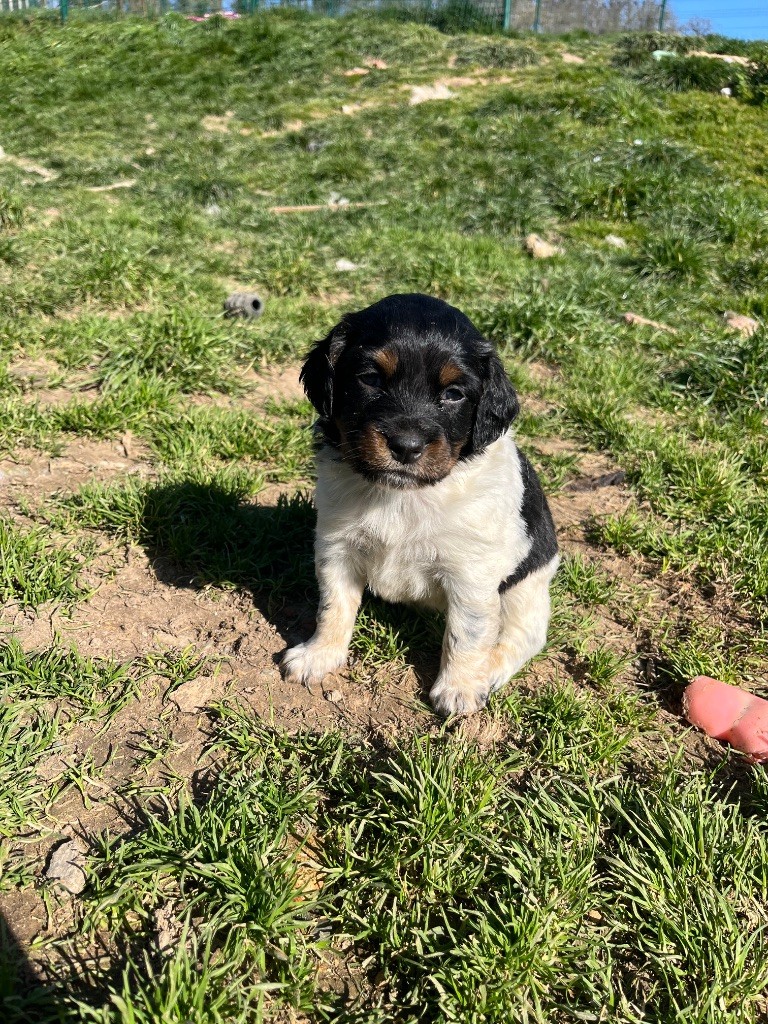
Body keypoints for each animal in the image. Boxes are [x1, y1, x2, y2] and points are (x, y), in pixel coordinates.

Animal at [282, 292, 561, 716]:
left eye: (454, 393)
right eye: (370, 379)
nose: (406, 447)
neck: (404, 496)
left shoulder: (471, 575)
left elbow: (467, 633)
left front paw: (460, 687)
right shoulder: (337, 548)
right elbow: (333, 607)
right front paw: (319, 655)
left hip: (526, 590)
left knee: (521, 638)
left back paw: (490, 670)